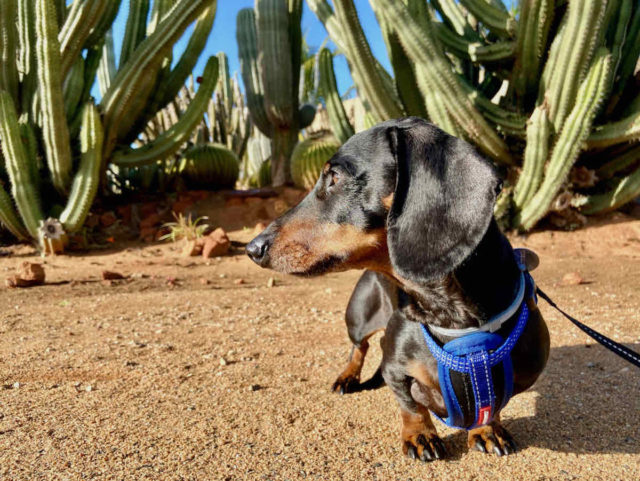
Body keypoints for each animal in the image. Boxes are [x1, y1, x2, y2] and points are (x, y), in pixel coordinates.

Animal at [246, 118, 552, 460]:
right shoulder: (394, 368)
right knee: (359, 346)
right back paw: (347, 376)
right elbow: (411, 405)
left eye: (335, 177)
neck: (451, 316)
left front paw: (487, 428)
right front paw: (420, 435)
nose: (252, 248)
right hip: (358, 316)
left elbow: (493, 405)